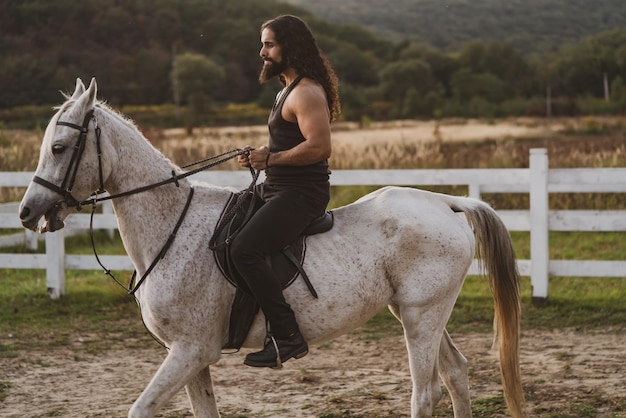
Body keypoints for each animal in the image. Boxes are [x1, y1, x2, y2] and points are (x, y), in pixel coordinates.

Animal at [19, 79, 524, 418]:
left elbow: (140, 409)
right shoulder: (191, 358)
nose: (27, 212)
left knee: (425, 392)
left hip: (421, 317)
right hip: (419, 313)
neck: (171, 227)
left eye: (60, 147)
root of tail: (447, 202)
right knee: (456, 374)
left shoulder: (190, 351)